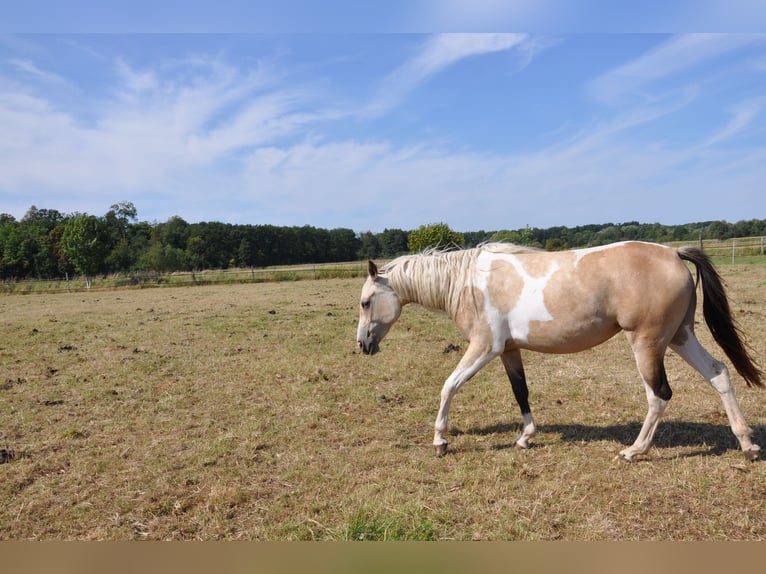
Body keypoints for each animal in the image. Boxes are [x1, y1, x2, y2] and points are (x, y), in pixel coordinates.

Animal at [356, 241, 763, 461]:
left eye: (365, 302)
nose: (363, 345)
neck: (469, 282)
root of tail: (674, 254)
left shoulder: (484, 347)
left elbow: (449, 386)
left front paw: (440, 441)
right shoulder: (508, 350)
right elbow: (521, 392)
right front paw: (525, 437)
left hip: (647, 344)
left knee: (658, 395)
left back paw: (634, 451)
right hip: (679, 337)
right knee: (719, 373)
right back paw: (747, 444)